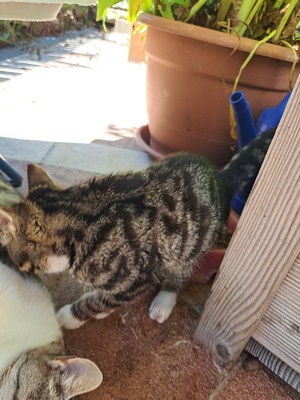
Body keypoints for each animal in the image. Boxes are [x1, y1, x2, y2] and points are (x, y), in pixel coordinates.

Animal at [0, 130, 274, 330]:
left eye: (18, 261)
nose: (19, 274)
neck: (79, 218)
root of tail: (220, 177)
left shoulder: (139, 275)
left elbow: (101, 300)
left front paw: (74, 315)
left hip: (192, 244)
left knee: (182, 272)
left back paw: (165, 299)